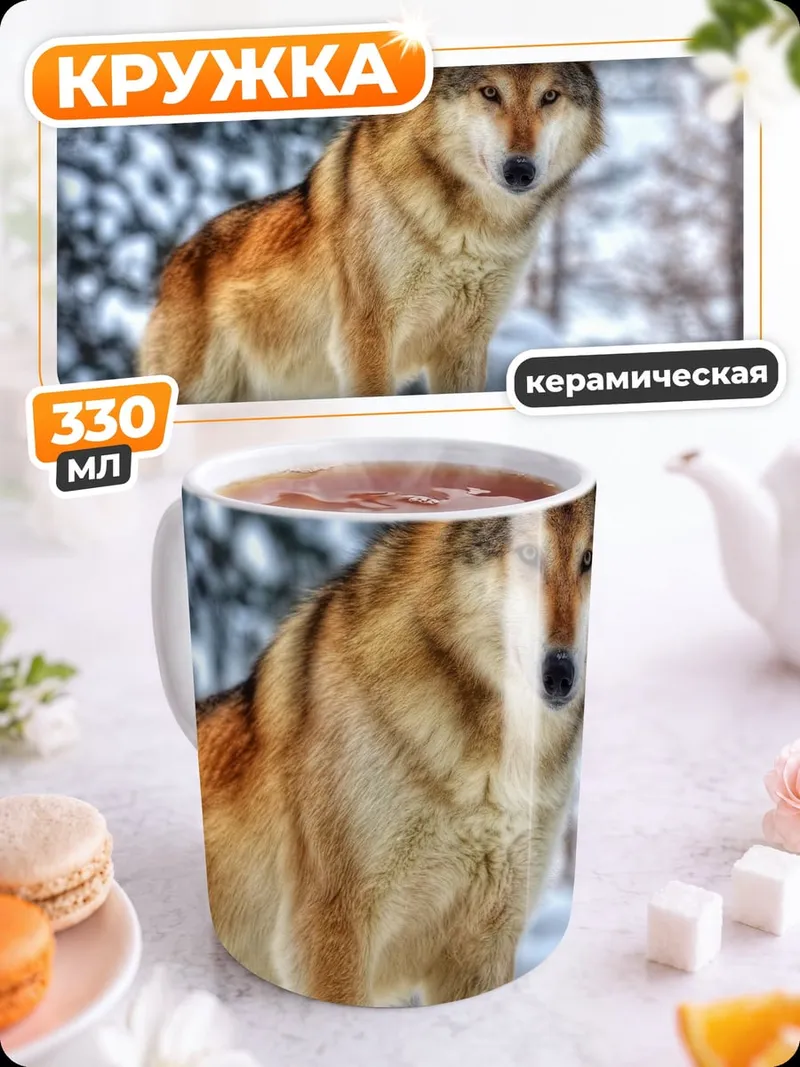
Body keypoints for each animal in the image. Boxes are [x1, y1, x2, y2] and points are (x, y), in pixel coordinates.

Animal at [139, 63, 604, 402]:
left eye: (549, 96)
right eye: (490, 92)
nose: (520, 170)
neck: (469, 234)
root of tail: (174, 262)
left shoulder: (464, 345)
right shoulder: (366, 337)